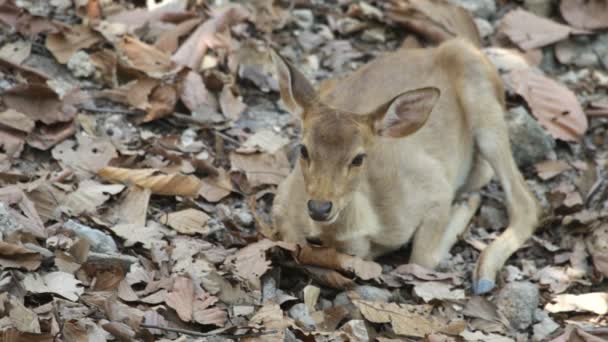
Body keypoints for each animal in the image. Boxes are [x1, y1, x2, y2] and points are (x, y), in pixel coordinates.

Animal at [270, 37, 540, 294]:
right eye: (303, 149)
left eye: (358, 158)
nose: (319, 207)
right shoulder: (282, 201)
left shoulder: (435, 187)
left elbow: (422, 258)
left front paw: (462, 208)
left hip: (484, 105)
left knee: (525, 203)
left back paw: (483, 273)